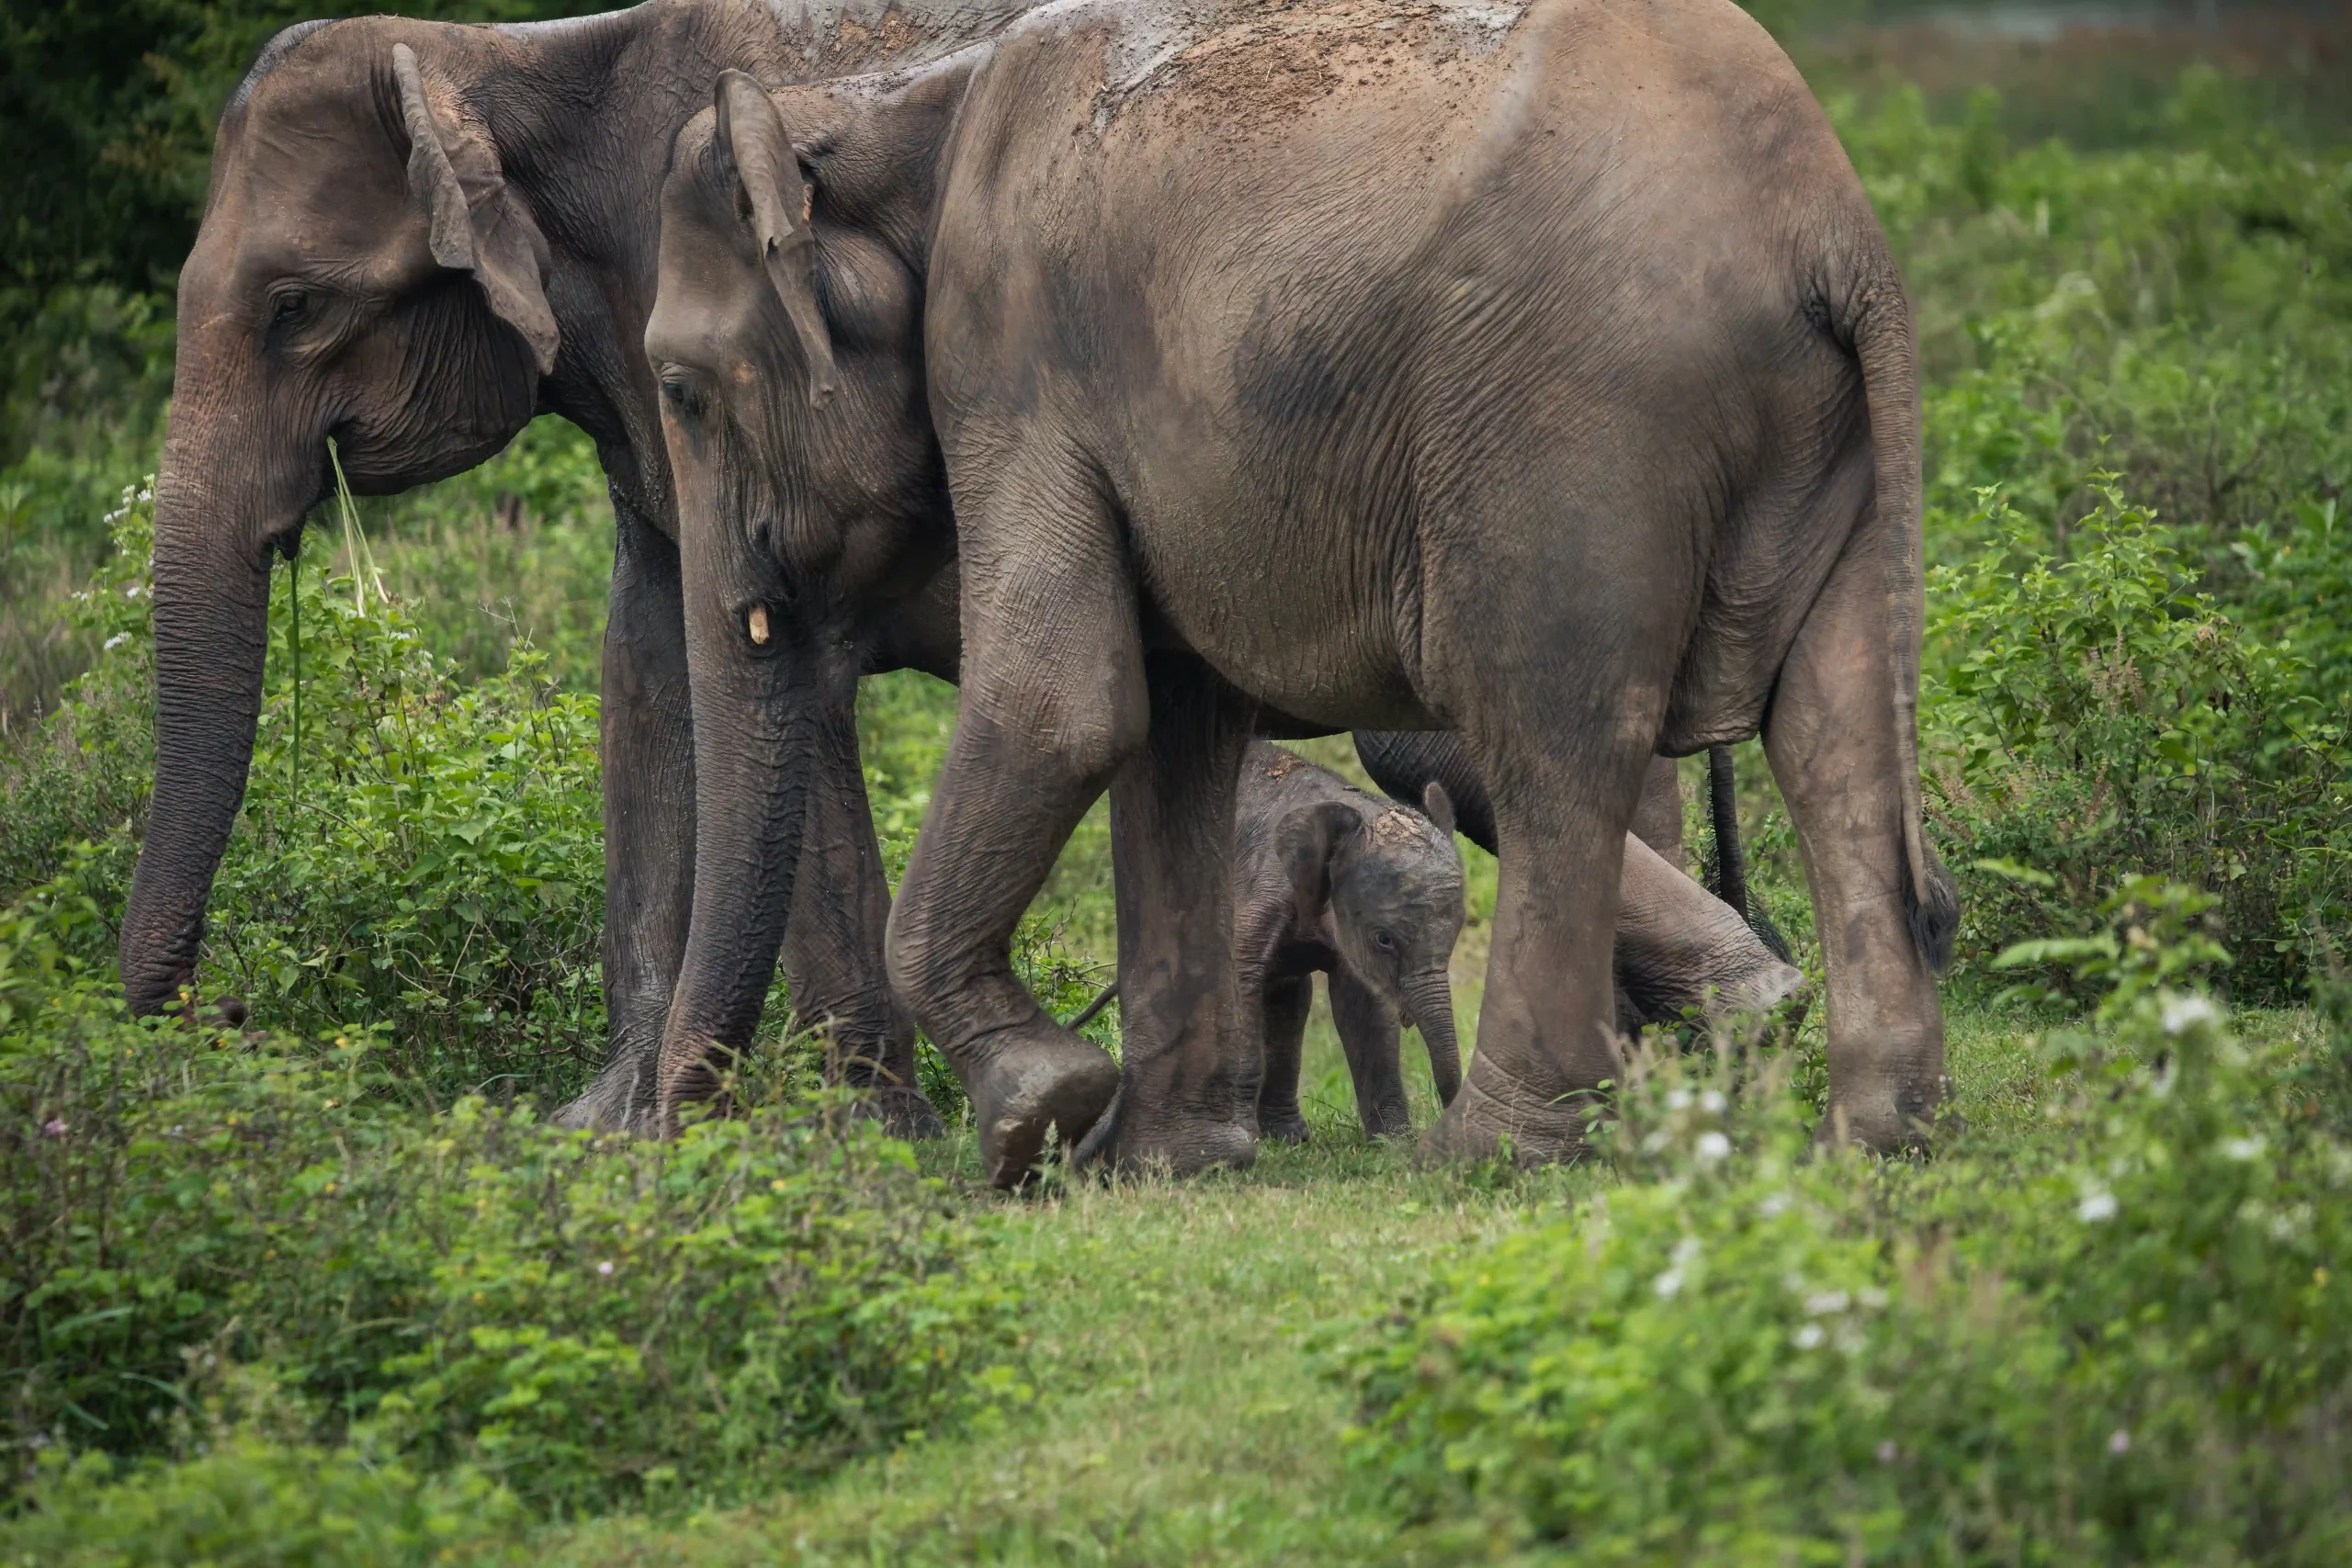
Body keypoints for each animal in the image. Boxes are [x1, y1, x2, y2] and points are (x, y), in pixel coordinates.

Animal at [643, 0, 1955, 1189]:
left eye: (680, 392)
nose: (668, 1150)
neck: (877, 106)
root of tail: (1835, 236)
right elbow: (1173, 728)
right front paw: (1167, 1165)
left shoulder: (1005, 355)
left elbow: (1060, 703)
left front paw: (1037, 1117)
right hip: (1809, 431)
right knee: (1831, 730)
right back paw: (1878, 1136)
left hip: (1577, 422)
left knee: (1550, 739)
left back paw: (1489, 1155)